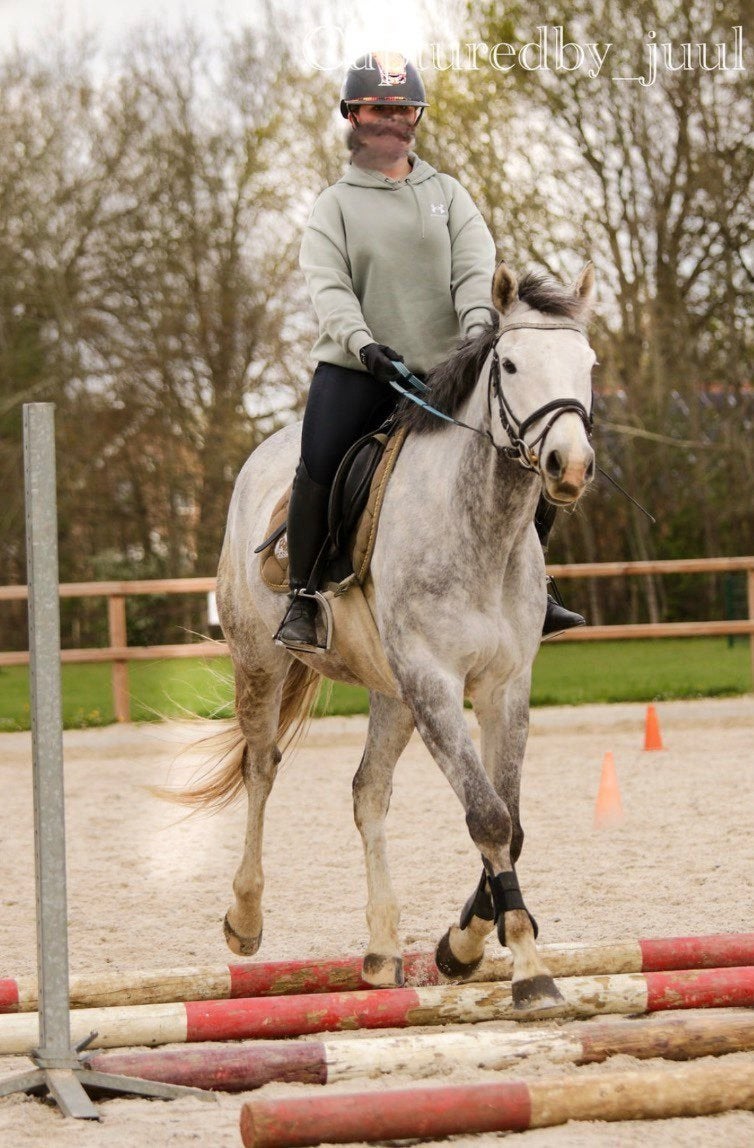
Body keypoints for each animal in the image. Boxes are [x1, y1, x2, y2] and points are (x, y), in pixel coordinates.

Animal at [182, 261, 596, 1015]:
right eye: (511, 363)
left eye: (588, 365)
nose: (569, 465)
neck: (481, 529)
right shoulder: (434, 680)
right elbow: (489, 817)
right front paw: (527, 968)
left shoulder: (504, 686)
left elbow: (511, 822)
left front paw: (464, 945)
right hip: (260, 662)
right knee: (261, 770)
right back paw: (245, 920)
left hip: (390, 691)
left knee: (367, 792)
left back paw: (380, 951)